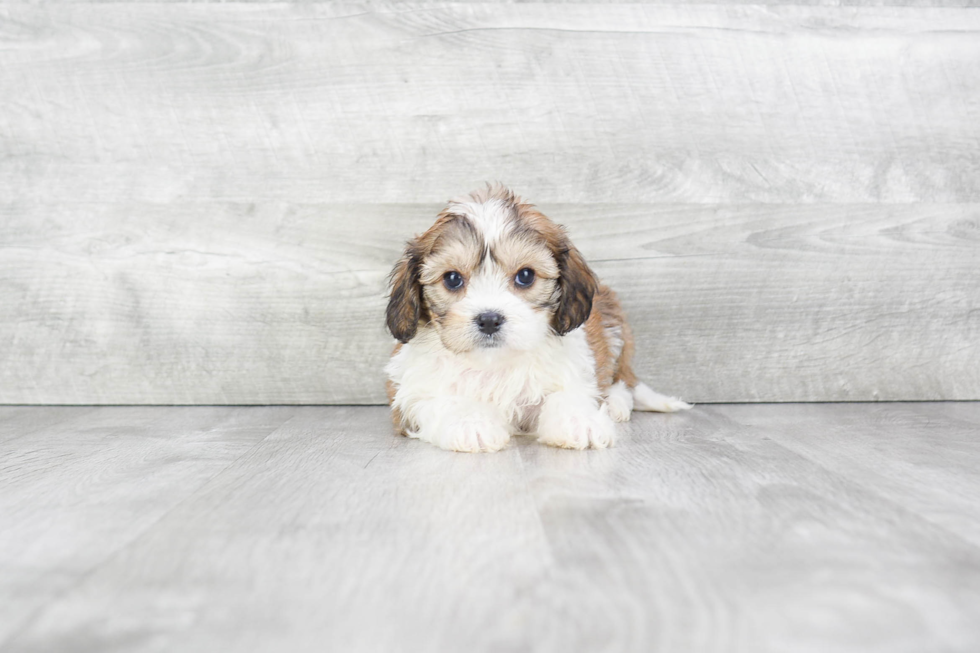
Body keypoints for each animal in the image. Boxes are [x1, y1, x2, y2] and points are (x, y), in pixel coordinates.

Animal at [382, 182, 688, 448]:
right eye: (453, 279)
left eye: (525, 276)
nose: (489, 319)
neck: (494, 365)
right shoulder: (409, 395)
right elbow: (442, 400)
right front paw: (470, 423)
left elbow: (566, 394)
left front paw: (579, 421)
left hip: (614, 330)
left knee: (622, 381)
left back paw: (614, 403)